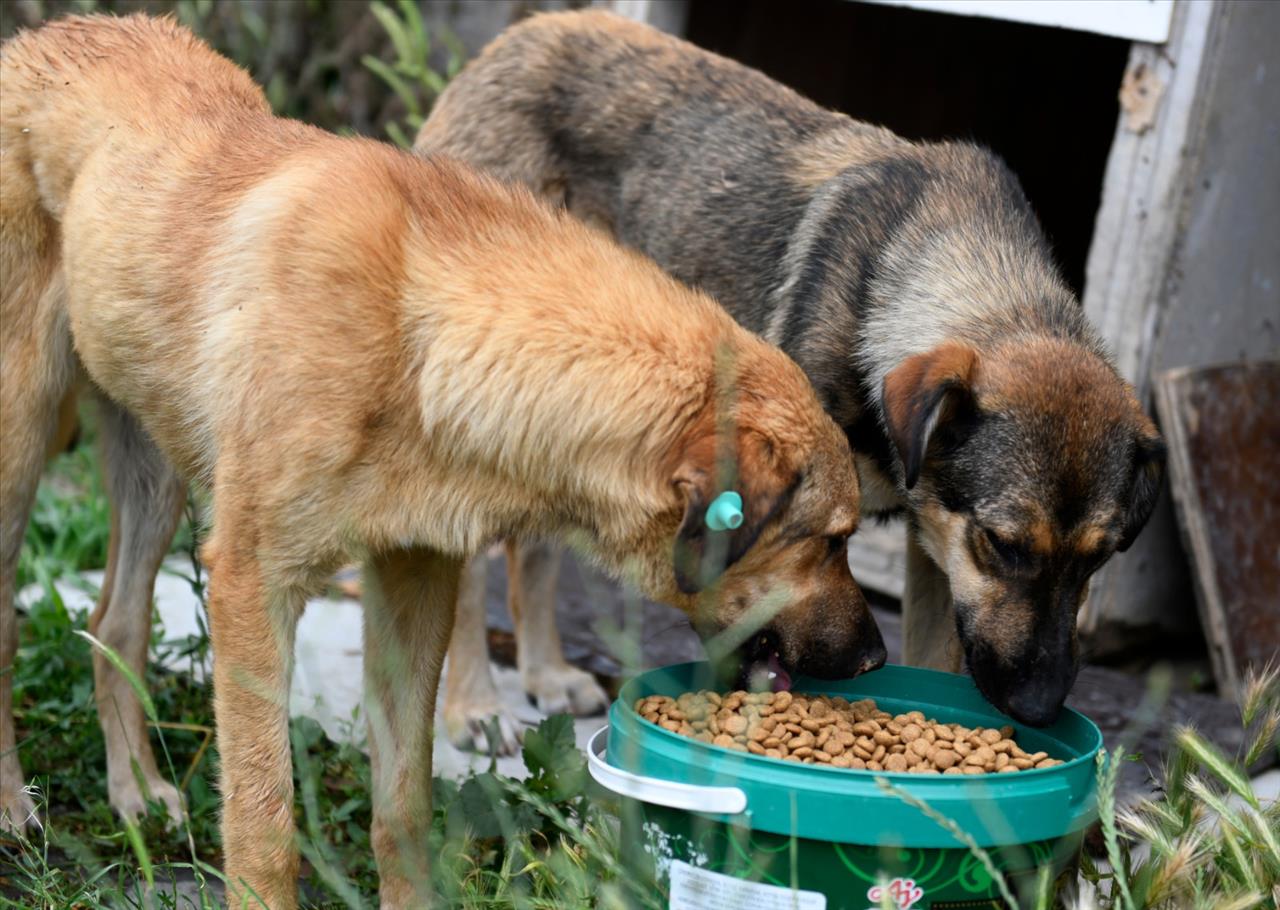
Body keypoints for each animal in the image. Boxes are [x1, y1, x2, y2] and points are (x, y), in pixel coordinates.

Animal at [0, 14, 885, 906]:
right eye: (832, 539)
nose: (878, 659)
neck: (416, 332)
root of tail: (45, 34)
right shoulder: (255, 589)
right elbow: (263, 824)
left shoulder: (412, 583)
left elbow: (404, 807)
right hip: (19, 449)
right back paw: (14, 806)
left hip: (153, 468)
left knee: (113, 623)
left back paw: (137, 793)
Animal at [414, 10, 1167, 732]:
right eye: (1001, 545)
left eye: (1100, 558)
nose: (1038, 709)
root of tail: (516, 37)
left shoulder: (933, 551)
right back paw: (475, 707)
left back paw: (545, 671)